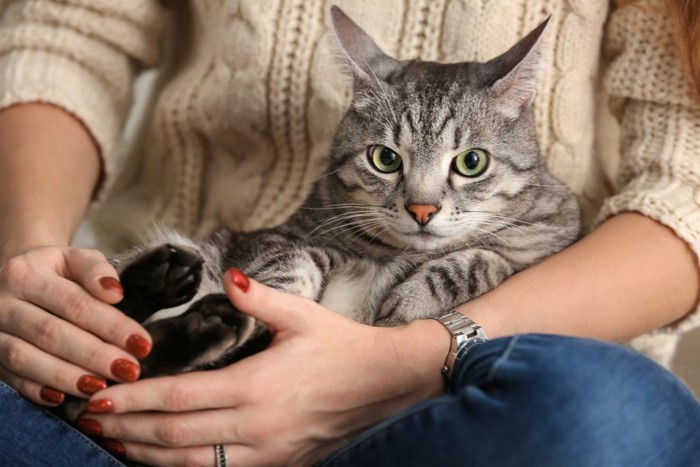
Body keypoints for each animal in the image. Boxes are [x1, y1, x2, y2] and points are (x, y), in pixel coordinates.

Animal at [116, 7, 580, 378]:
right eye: (385, 159)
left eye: (471, 162)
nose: (422, 210)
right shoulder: (277, 239)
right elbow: (292, 268)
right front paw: (269, 306)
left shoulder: (548, 238)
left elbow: (488, 260)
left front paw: (408, 301)